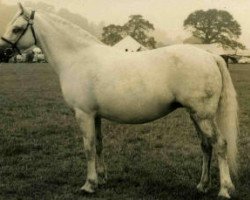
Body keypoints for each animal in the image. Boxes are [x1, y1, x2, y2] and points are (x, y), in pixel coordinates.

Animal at [0, 3, 238, 198]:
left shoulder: (83, 114)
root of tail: (210, 56)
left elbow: (88, 147)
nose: (3, 53)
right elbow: (98, 145)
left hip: (202, 115)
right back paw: (203, 185)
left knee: (220, 144)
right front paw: (102, 178)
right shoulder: (95, 115)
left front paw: (89, 184)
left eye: (17, 28)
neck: (77, 58)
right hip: (196, 115)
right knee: (206, 146)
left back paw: (224, 189)